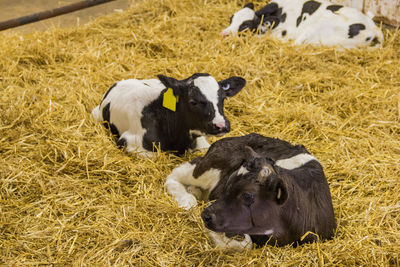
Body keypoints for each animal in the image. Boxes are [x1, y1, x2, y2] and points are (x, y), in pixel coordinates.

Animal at [166, 134, 338, 249]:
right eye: (228, 183)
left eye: (248, 195)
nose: (206, 215)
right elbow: (245, 244)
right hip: (210, 166)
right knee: (175, 174)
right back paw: (187, 200)